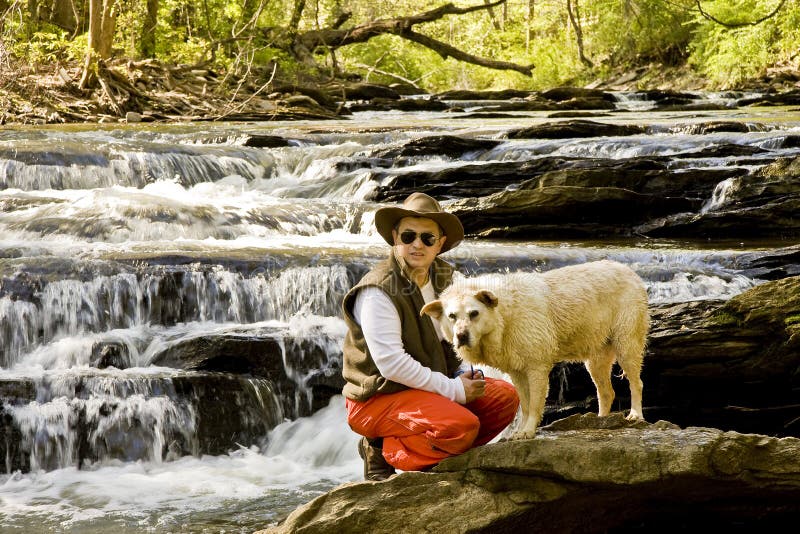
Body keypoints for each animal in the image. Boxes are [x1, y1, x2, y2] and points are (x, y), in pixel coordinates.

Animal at [418, 260, 648, 440]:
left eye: (474, 313)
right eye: (452, 316)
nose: (461, 336)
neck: (505, 316)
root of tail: (631, 272)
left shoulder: (537, 367)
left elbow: (535, 404)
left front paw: (528, 431)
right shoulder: (517, 371)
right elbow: (526, 404)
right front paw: (517, 433)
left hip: (626, 342)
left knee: (636, 383)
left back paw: (636, 415)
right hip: (595, 356)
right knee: (606, 392)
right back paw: (600, 421)